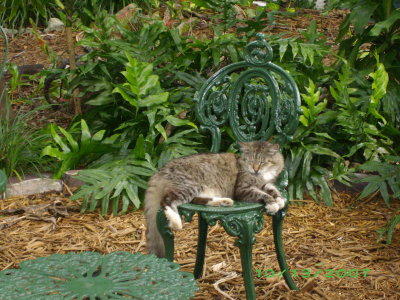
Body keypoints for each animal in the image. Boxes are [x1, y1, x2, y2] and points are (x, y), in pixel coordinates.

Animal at [144, 140, 284, 255]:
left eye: (262, 162)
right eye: (250, 161)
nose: (255, 169)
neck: (260, 176)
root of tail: (160, 172)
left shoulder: (265, 184)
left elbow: (273, 190)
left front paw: (280, 200)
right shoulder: (242, 189)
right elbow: (264, 194)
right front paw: (273, 204)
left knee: (199, 200)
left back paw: (224, 201)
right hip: (189, 186)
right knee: (167, 201)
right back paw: (176, 222)